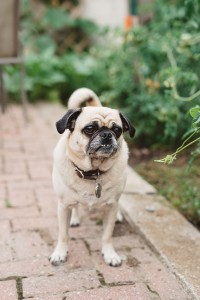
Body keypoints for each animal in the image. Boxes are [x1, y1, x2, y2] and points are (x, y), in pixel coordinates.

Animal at [49, 88, 135, 266]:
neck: (93, 171)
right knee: (74, 206)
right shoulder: (63, 206)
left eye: (117, 130)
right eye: (90, 128)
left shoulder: (110, 207)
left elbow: (107, 235)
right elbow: (63, 234)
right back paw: (74, 218)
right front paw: (60, 253)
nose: (107, 134)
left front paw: (110, 254)